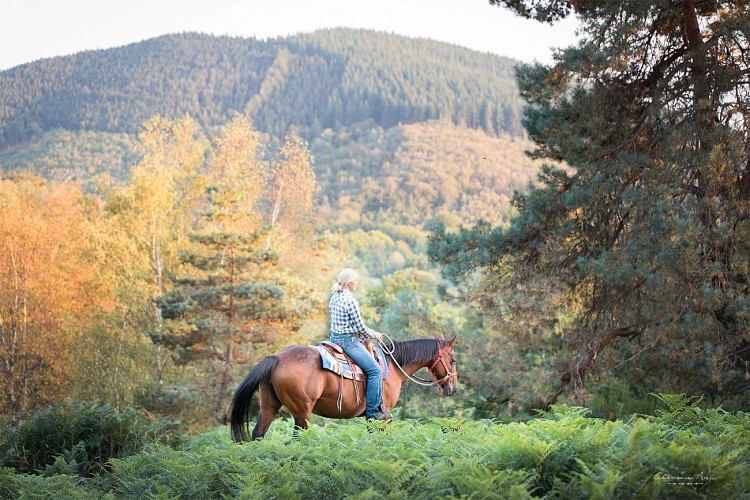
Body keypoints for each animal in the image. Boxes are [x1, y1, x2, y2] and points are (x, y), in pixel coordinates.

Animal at [229, 336, 458, 442]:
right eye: (453, 359)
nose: (453, 388)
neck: (392, 366)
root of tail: (277, 357)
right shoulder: (381, 417)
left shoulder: (371, 418)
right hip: (302, 414)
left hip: (269, 407)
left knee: (258, 435)